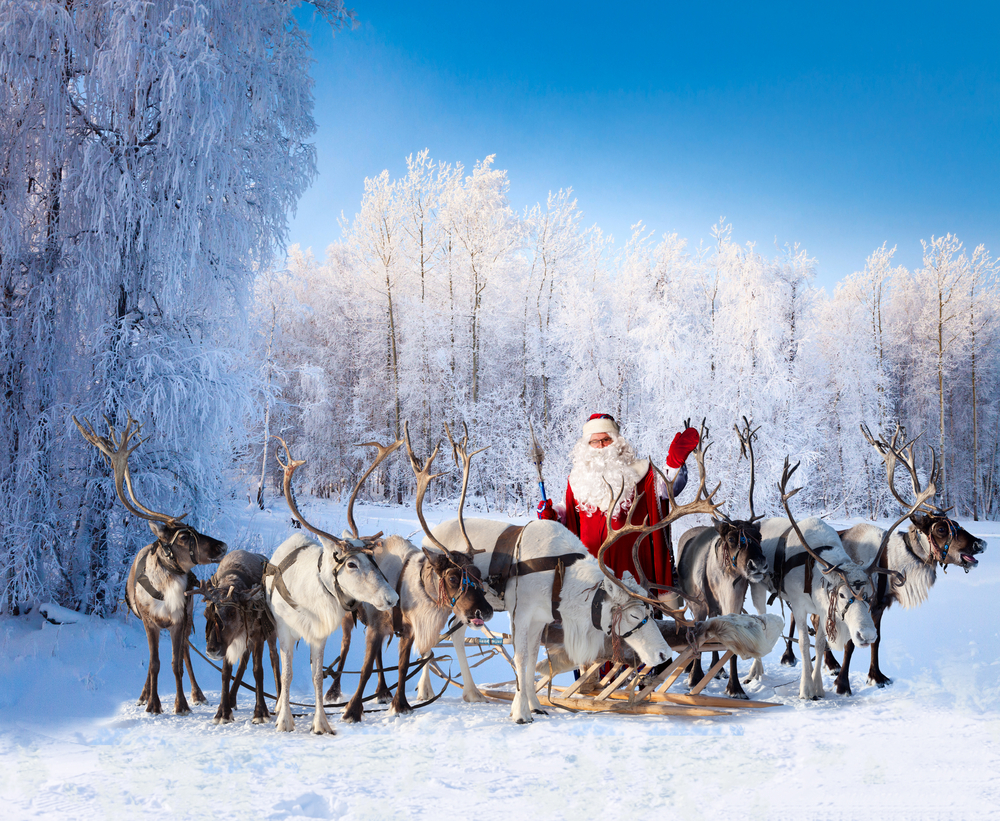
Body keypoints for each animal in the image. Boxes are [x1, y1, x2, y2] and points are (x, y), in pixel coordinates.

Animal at [74, 414, 227, 715]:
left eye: (195, 529)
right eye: (184, 536)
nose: (222, 546)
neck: (166, 589)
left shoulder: (179, 619)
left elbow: (177, 664)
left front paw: (182, 705)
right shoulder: (148, 621)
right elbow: (154, 664)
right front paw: (153, 704)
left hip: (187, 618)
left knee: (186, 654)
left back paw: (198, 694)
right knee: (153, 660)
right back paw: (144, 695)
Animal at [264, 438, 398, 734]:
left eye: (373, 557)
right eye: (351, 564)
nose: (392, 597)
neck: (308, 599)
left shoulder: (319, 635)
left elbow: (317, 676)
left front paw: (321, 723)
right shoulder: (285, 630)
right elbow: (287, 673)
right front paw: (285, 719)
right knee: (279, 666)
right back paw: (278, 705)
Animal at [675, 418, 769, 698]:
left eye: (759, 536)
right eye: (732, 539)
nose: (758, 564)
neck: (726, 583)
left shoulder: (733, 605)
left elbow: (730, 648)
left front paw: (735, 687)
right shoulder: (699, 606)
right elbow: (696, 639)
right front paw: (695, 678)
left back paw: (718, 669)